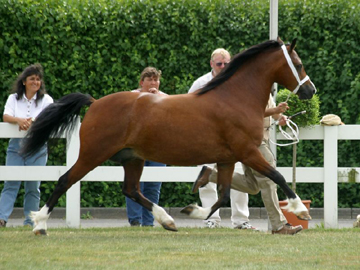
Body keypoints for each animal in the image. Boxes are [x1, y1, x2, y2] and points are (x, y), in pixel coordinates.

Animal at [21, 37, 316, 235]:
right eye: (299, 64)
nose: (310, 90)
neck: (235, 98)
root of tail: (94, 103)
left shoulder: (228, 158)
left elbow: (222, 195)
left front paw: (191, 210)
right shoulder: (248, 152)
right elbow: (277, 176)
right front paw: (300, 210)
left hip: (133, 158)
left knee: (131, 189)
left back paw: (168, 220)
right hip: (93, 154)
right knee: (64, 180)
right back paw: (39, 223)